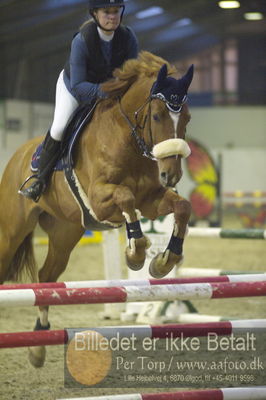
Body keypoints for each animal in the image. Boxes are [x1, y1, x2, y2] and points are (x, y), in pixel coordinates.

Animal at [0, 51, 192, 368]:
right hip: (13, 230)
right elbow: (126, 199)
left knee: (46, 275)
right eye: (157, 116)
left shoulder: (151, 199)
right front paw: (136, 253)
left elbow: (182, 206)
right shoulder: (101, 200)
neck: (128, 140)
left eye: (186, 118)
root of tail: (18, 154)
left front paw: (164, 261)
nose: (171, 175)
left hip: (65, 233)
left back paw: (38, 346)